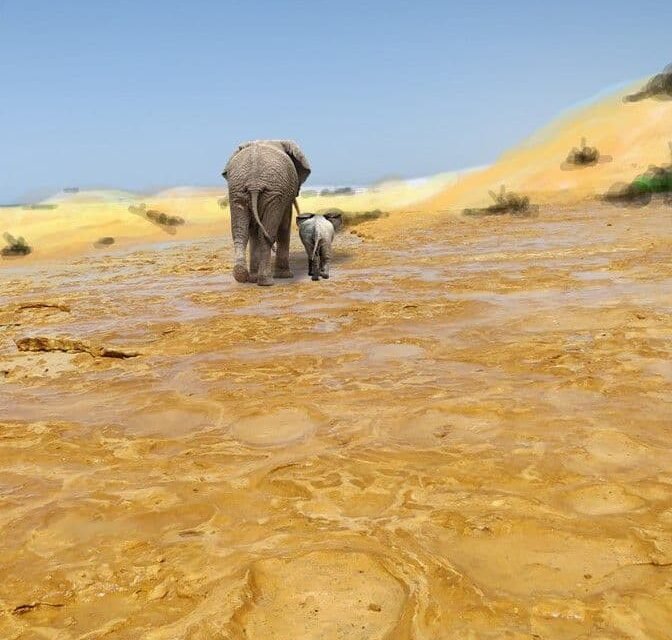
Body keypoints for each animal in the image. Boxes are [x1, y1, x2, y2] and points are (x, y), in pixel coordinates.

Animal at [223, 139, 312, 284]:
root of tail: (254, 183)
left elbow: (253, 230)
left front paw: (253, 278)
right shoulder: (283, 195)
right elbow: (284, 224)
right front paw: (285, 276)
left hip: (238, 191)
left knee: (241, 232)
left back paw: (242, 275)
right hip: (273, 193)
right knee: (267, 232)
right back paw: (267, 282)